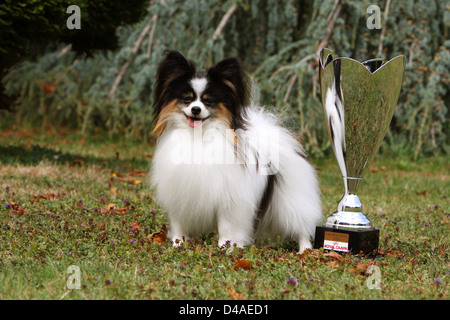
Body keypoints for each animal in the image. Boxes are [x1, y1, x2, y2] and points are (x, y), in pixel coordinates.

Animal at [149, 50, 322, 252]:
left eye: (208, 101)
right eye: (187, 99)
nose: (196, 109)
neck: (198, 137)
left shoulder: (230, 199)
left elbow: (226, 226)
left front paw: (226, 247)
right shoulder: (178, 194)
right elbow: (179, 223)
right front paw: (178, 243)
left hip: (291, 200)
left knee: (301, 225)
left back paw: (305, 250)